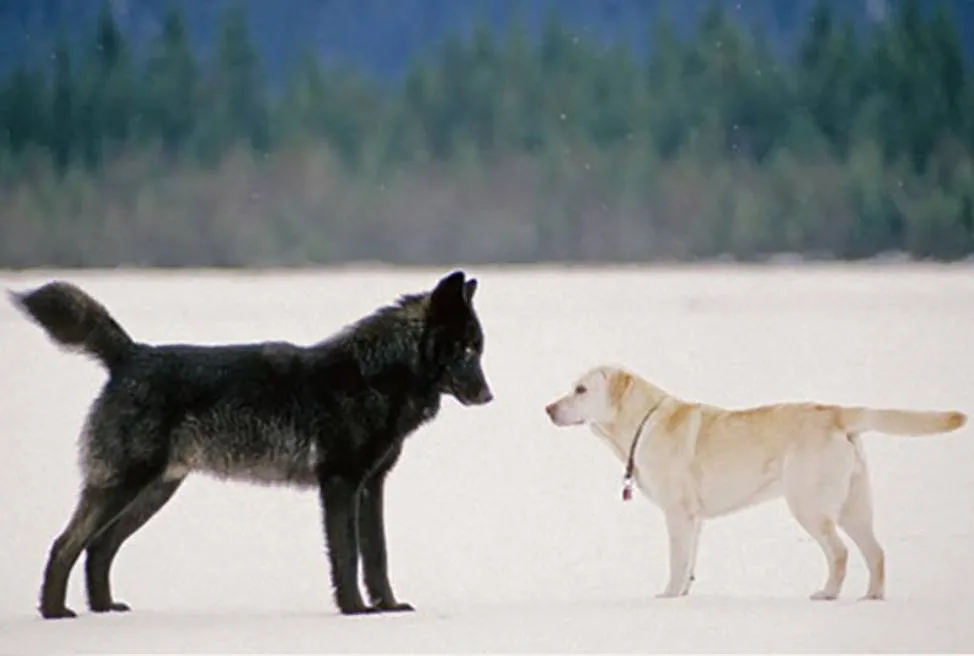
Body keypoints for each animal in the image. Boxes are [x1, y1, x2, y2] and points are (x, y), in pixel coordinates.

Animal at [9, 270, 496, 616]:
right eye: (465, 350)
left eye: (479, 348)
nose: (489, 396)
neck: (373, 377)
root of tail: (130, 353)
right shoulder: (340, 484)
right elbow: (348, 555)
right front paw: (355, 611)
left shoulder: (371, 486)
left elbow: (377, 555)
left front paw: (388, 607)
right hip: (126, 485)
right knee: (65, 544)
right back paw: (55, 613)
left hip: (155, 491)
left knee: (98, 547)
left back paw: (105, 609)